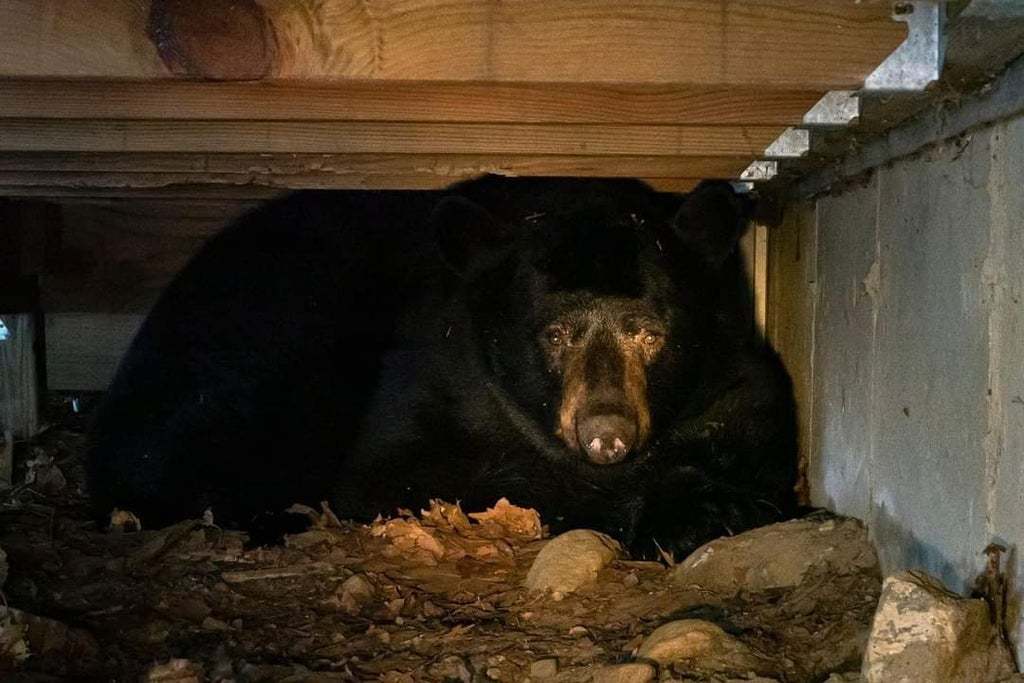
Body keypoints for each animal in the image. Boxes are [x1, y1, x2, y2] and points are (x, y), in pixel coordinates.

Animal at [88, 178, 798, 561]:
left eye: (650, 333)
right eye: (555, 334)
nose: (606, 433)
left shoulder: (734, 373)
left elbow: (756, 435)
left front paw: (713, 500)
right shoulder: (434, 372)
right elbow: (408, 474)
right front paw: (680, 509)